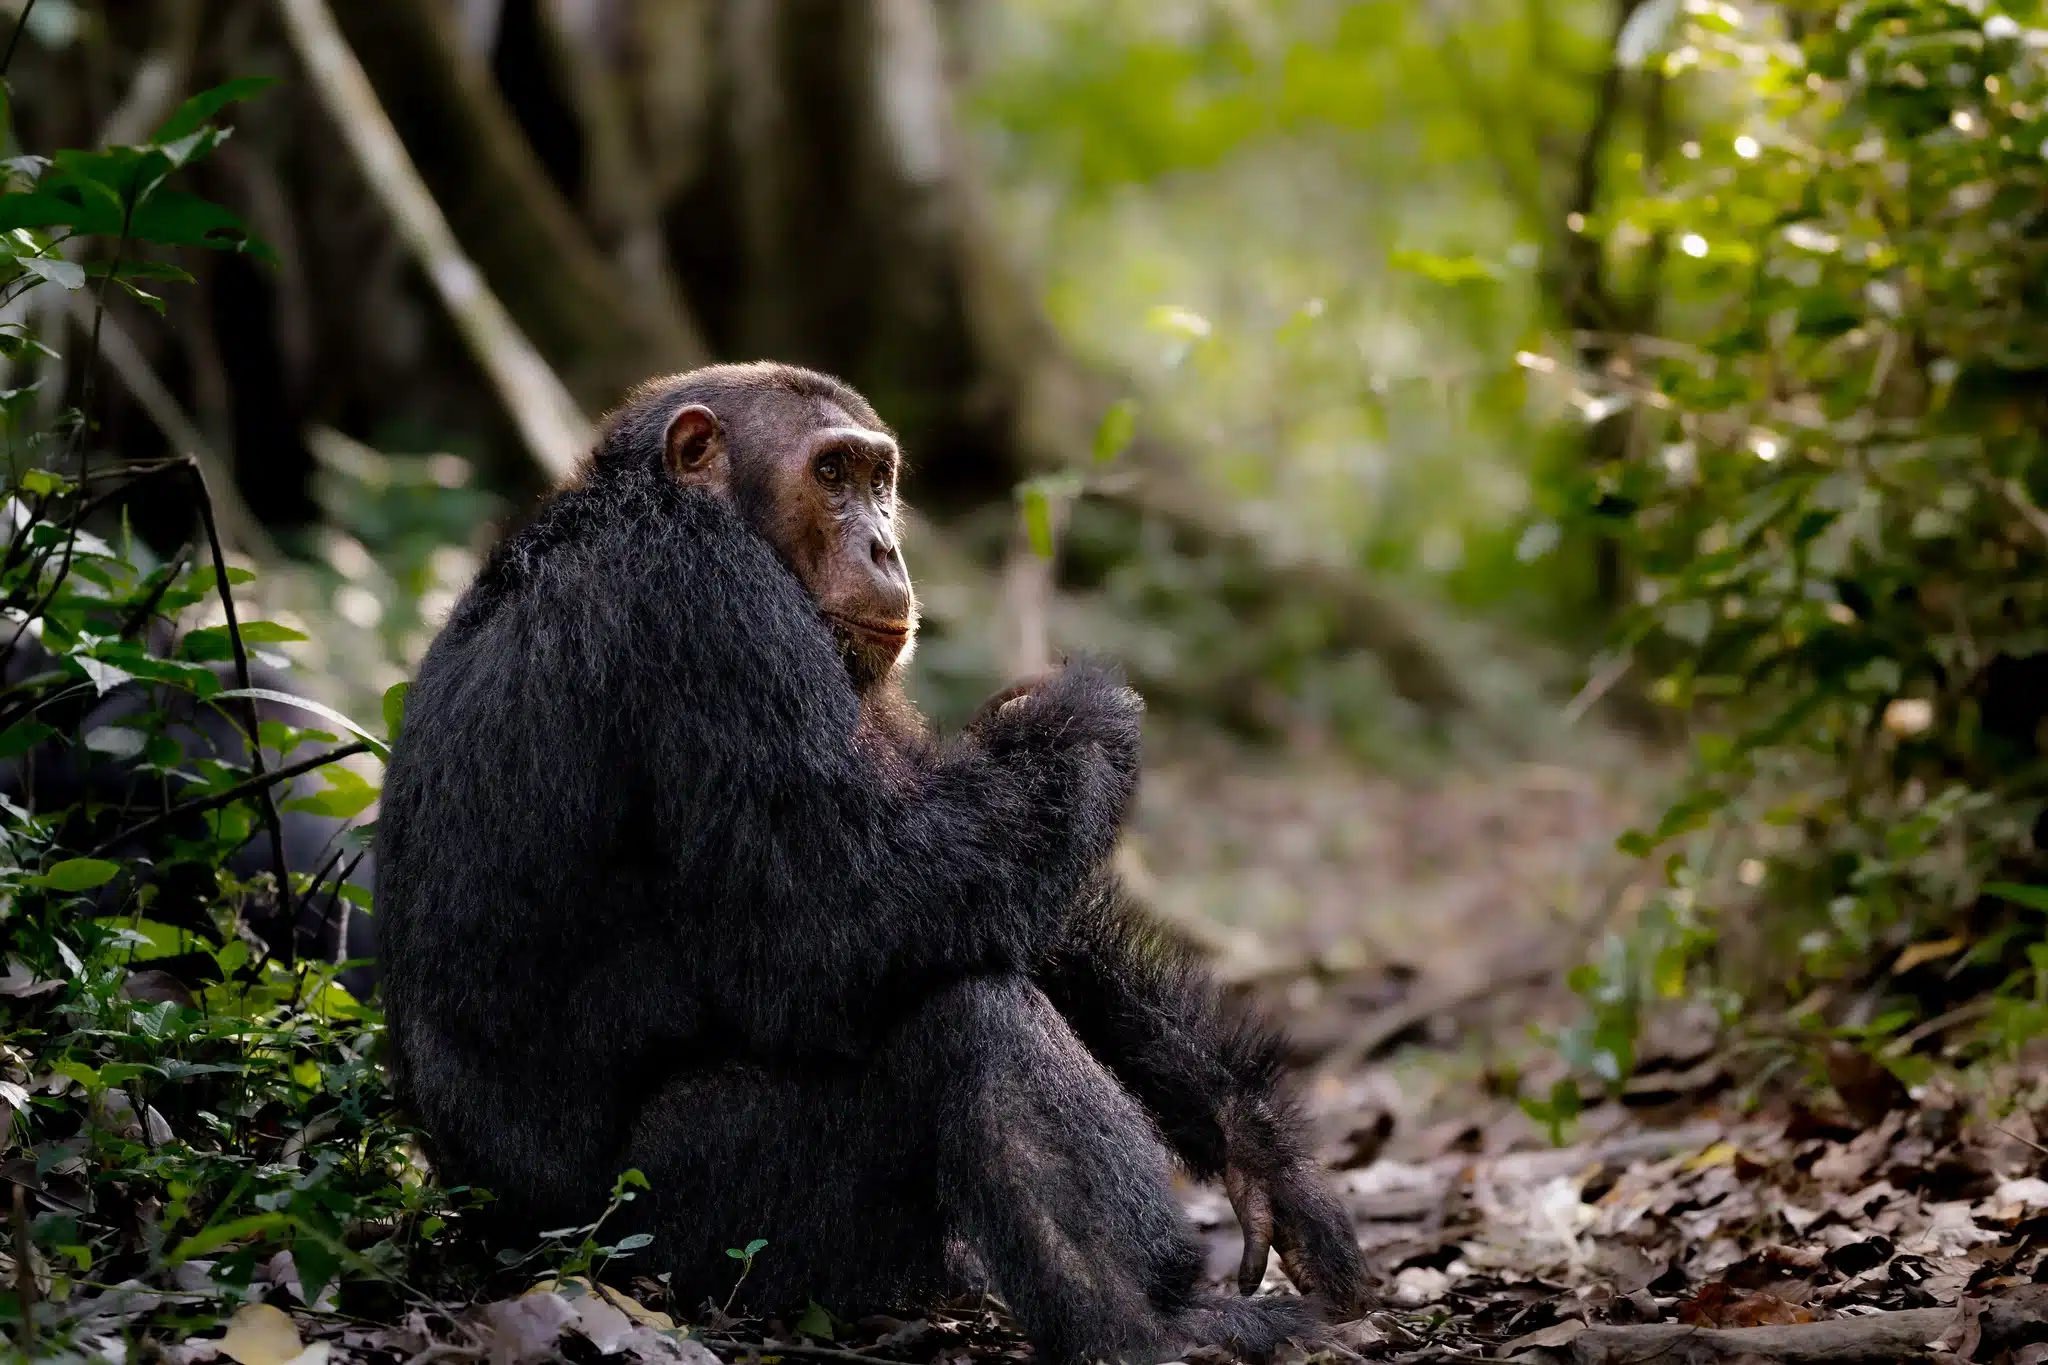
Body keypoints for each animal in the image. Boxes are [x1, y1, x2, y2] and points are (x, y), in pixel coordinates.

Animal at [375, 362, 1370, 1364]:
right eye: (831, 475)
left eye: (878, 478)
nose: (887, 546)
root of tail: (493, 1237)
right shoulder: (710, 606)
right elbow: (844, 918)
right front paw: (1081, 713)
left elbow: (981, 893)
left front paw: (1259, 1147)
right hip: (686, 1226)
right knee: (963, 1021)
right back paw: (1154, 1321)